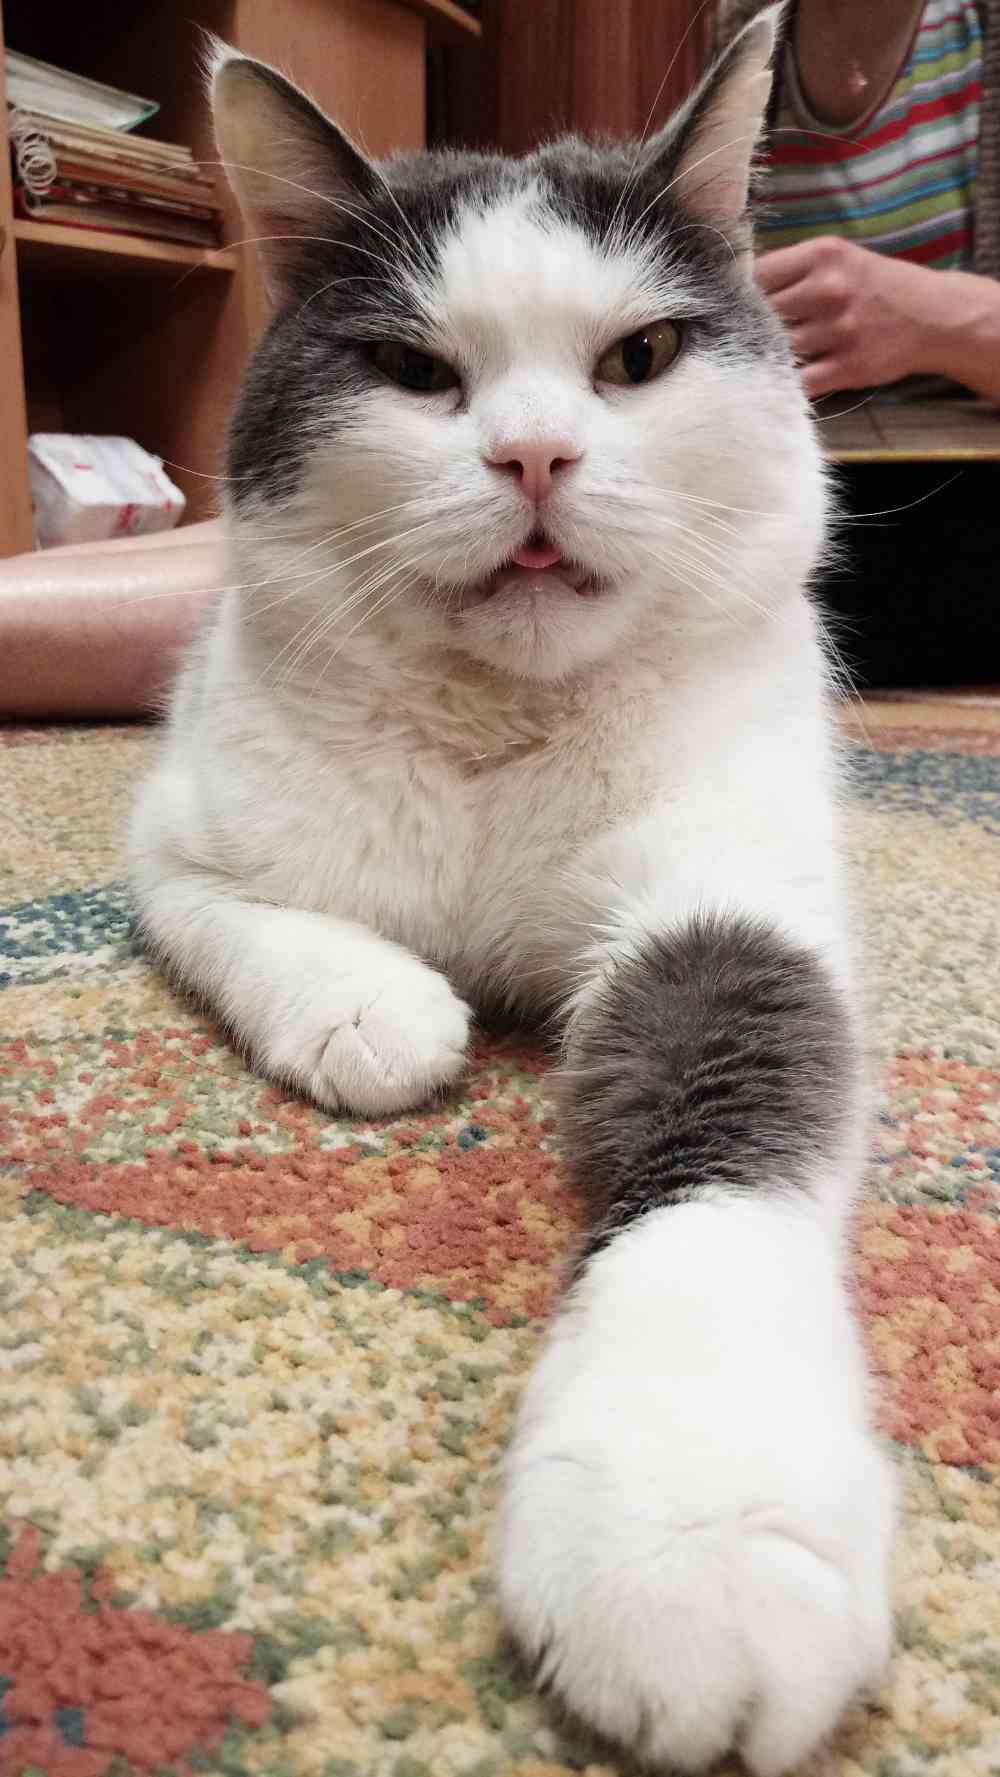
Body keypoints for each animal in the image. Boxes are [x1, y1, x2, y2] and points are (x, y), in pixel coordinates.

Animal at [128, 8, 896, 1770]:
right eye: (417, 373)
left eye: (640, 358)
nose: (535, 454)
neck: (502, 733)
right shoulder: (174, 825)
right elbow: (246, 919)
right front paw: (368, 1003)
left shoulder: (738, 887)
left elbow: (732, 1104)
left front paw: (693, 1525)